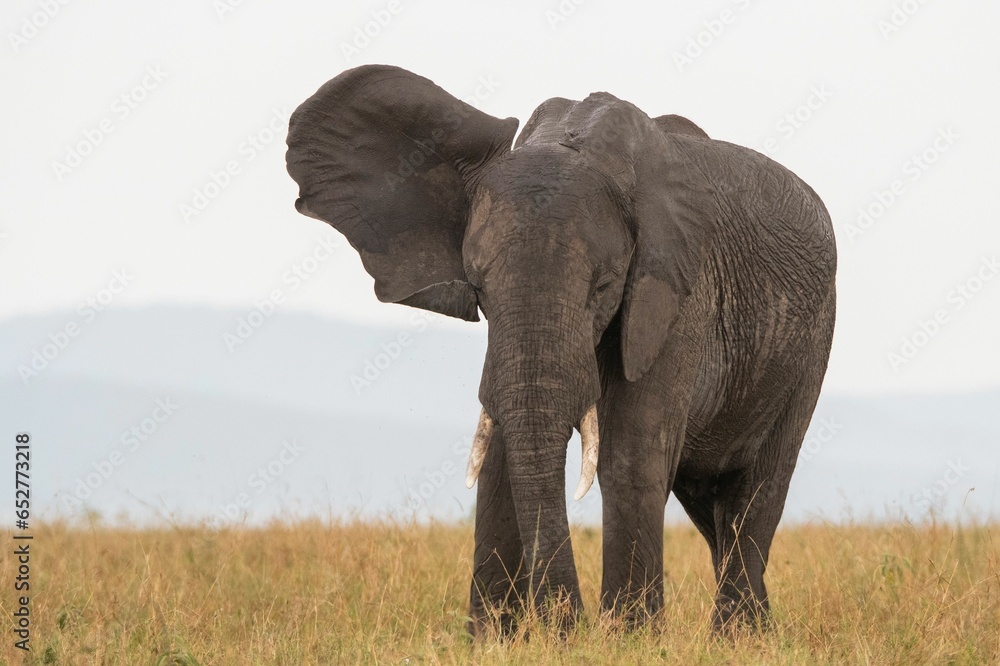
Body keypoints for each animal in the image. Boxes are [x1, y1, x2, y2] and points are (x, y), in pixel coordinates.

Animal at [285, 65, 836, 634]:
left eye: (604, 288)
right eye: (478, 289)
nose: (564, 626)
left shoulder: (680, 294)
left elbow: (631, 454)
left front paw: (629, 640)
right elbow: (502, 448)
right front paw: (495, 639)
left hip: (812, 345)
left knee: (756, 493)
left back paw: (739, 636)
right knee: (712, 509)